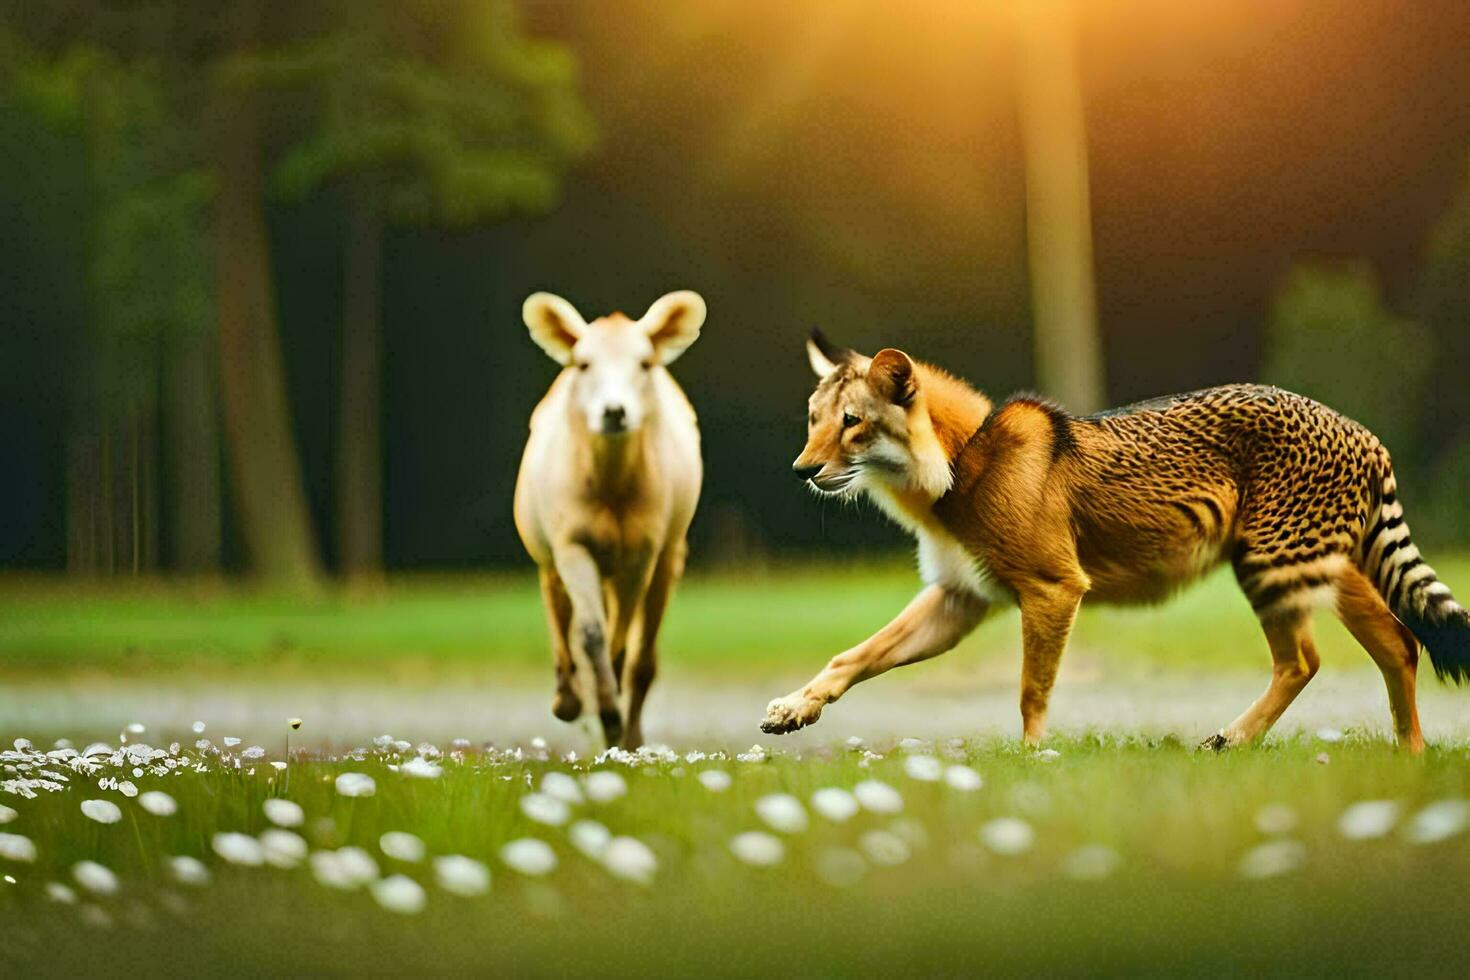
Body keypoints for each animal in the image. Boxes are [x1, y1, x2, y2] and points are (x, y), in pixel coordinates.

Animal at [514, 290, 702, 752]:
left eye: (645, 363)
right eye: (584, 364)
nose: (614, 412)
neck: (611, 485)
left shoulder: (642, 552)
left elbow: (620, 636)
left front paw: (614, 717)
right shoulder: (570, 545)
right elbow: (591, 631)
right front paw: (595, 705)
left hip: (667, 556)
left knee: (644, 650)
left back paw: (629, 731)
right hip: (551, 557)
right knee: (559, 609)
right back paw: (568, 697)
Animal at [764, 329, 1464, 752]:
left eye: (852, 423)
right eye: (813, 420)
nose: (801, 469)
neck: (962, 460)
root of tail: (1358, 429)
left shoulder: (1053, 590)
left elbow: (1031, 690)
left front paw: (1031, 764)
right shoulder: (958, 600)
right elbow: (853, 656)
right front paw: (795, 708)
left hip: (1270, 566)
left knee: (1304, 661)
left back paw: (1235, 740)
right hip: (1324, 567)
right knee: (1399, 645)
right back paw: (1409, 761)